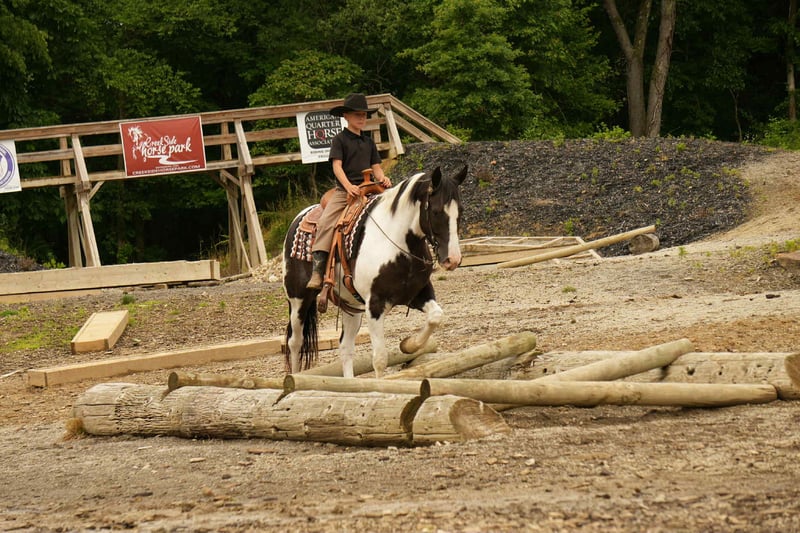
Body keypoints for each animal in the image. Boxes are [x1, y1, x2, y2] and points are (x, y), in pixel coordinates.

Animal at [282, 165, 469, 378]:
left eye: (460, 211)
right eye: (436, 212)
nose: (453, 259)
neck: (397, 244)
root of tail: (299, 217)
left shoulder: (418, 294)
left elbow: (436, 316)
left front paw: (409, 345)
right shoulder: (375, 305)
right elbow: (380, 359)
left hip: (350, 306)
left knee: (345, 347)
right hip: (298, 299)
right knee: (295, 342)